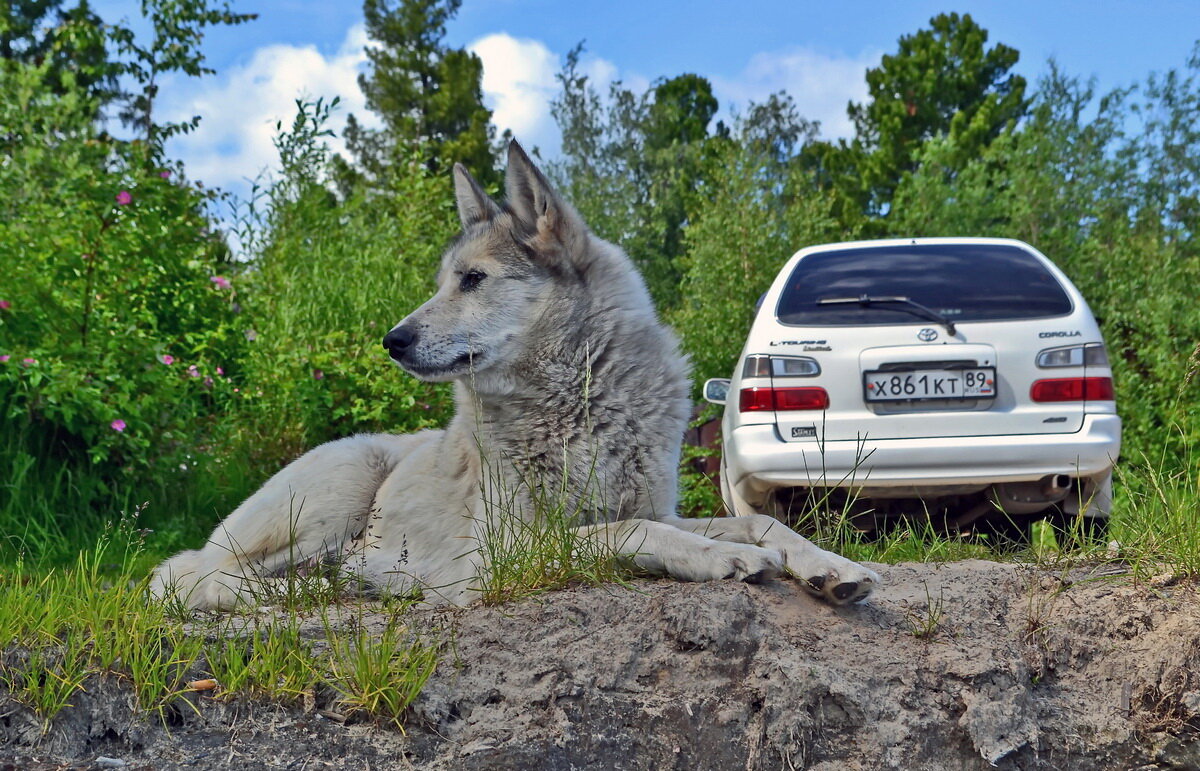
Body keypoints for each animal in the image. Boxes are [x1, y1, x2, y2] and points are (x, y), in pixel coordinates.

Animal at [150, 138, 883, 605]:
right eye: (445, 282)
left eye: (472, 280)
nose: (392, 341)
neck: (579, 403)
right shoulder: (511, 549)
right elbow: (626, 531)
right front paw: (717, 559)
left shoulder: (663, 506)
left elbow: (764, 525)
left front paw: (829, 565)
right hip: (342, 484)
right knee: (193, 575)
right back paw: (324, 585)